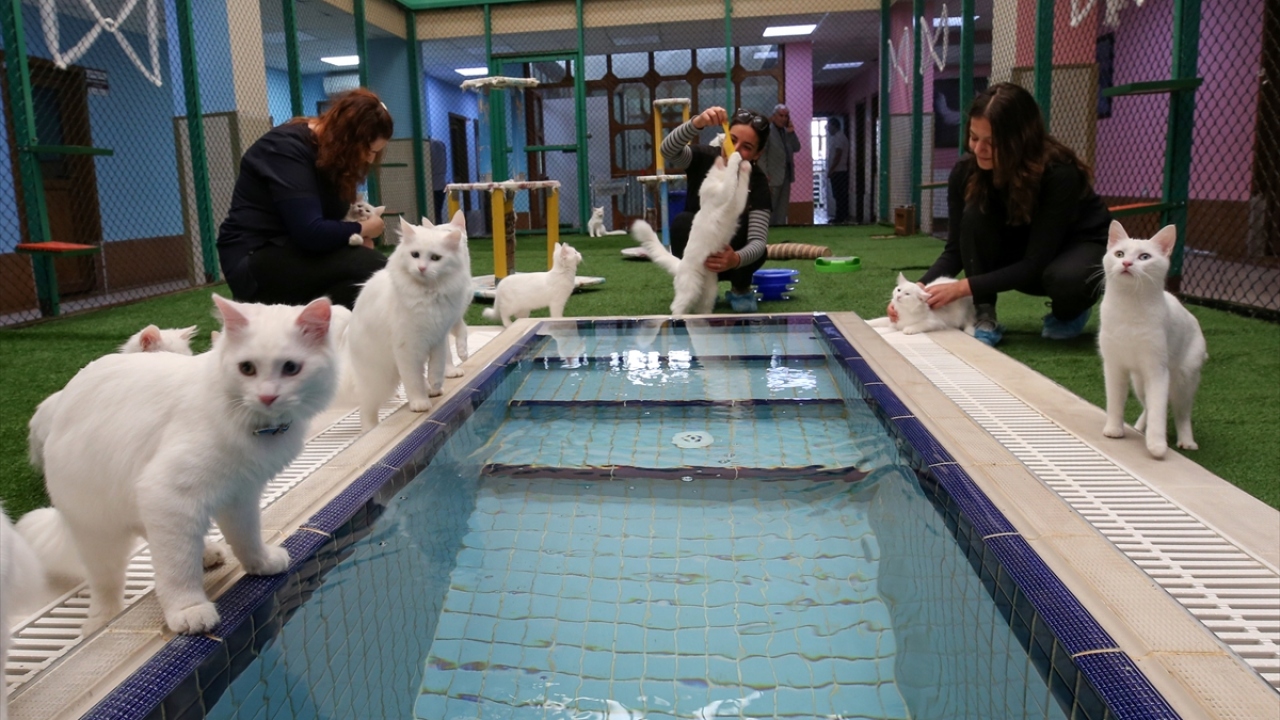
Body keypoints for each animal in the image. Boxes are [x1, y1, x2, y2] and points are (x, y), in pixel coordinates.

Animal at [345, 212, 472, 432]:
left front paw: (436, 384)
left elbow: (438, 365)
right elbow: (413, 381)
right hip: (380, 379)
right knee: (367, 408)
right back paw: (370, 429)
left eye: (436, 258)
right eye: (415, 255)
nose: (421, 268)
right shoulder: (407, 347)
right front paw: (419, 403)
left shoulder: (439, 336)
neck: (429, 294)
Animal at [1098, 221, 1207, 459]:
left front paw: (1157, 446)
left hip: (1184, 380)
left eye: (1145, 257)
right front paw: (1114, 429)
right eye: (1119, 253)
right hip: (1139, 381)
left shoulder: (1157, 370)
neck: (1129, 306)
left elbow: (1159, 410)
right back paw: (1139, 428)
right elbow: (1115, 402)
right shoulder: (1114, 366)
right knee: (1147, 406)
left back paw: (1187, 441)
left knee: (1181, 413)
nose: (1127, 263)